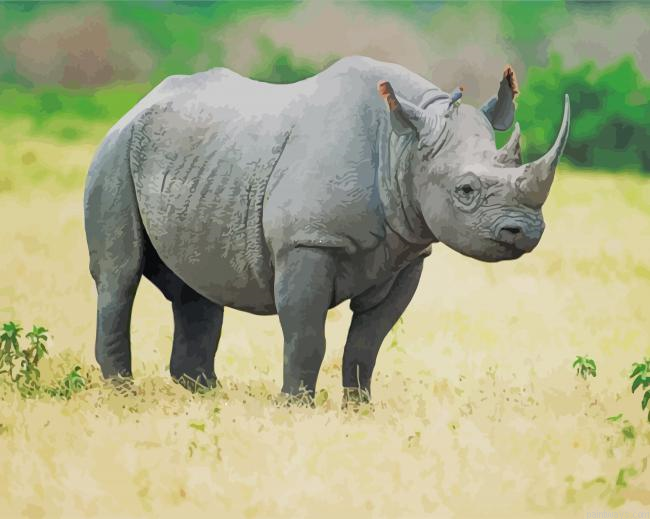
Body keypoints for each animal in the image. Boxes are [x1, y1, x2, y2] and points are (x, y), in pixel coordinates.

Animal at [84, 56, 570, 400]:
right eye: (466, 190)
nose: (526, 231)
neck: (401, 146)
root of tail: (137, 104)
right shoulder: (307, 243)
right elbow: (306, 333)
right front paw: (295, 405)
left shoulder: (408, 253)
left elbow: (369, 340)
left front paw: (360, 407)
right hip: (113, 153)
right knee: (120, 275)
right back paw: (124, 393)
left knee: (196, 285)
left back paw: (204, 393)